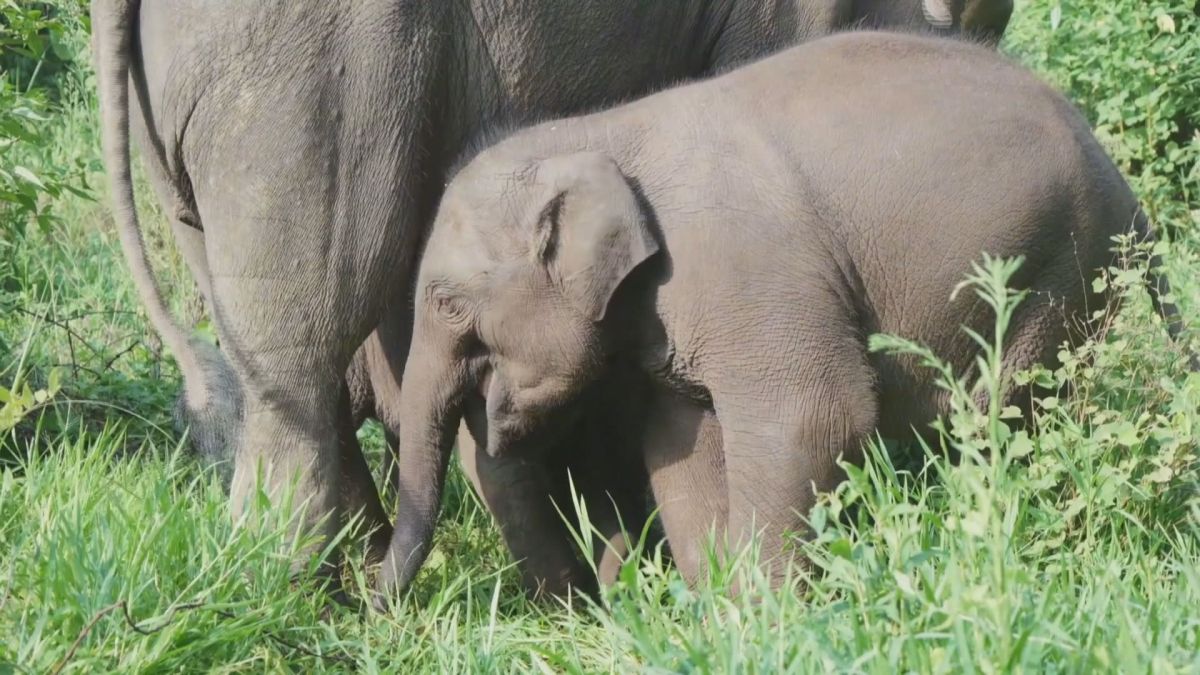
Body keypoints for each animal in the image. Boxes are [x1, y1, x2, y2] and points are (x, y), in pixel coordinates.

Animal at [384, 29, 1195, 593]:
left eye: (447, 303)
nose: (375, 601)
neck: (595, 133)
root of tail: (1124, 185)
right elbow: (682, 446)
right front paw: (718, 610)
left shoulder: (752, 271)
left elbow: (812, 417)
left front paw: (765, 610)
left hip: (1057, 267)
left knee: (1011, 413)